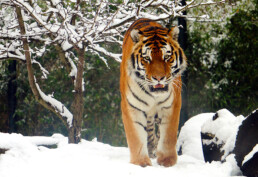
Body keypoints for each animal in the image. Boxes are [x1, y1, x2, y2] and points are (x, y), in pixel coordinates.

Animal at [120, 18, 186, 167]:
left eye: (166, 57)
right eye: (147, 58)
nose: (159, 78)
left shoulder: (171, 105)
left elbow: (168, 135)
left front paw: (167, 161)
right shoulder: (132, 107)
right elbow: (136, 136)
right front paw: (141, 163)